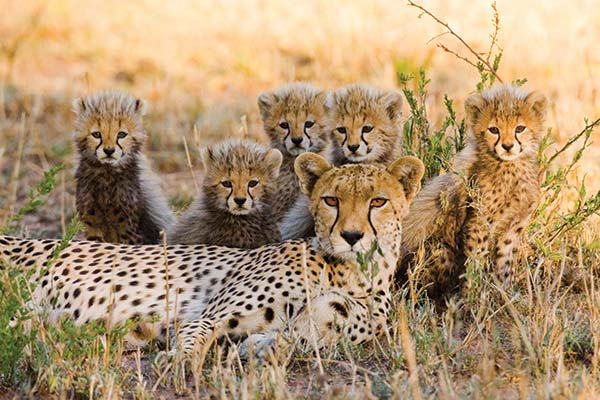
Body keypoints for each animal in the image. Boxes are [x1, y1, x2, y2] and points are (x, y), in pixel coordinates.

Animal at [0, 154, 424, 356]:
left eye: (378, 202)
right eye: (331, 200)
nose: (351, 236)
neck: (353, 272)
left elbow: (292, 338)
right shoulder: (203, 317)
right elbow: (196, 336)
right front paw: (179, 362)